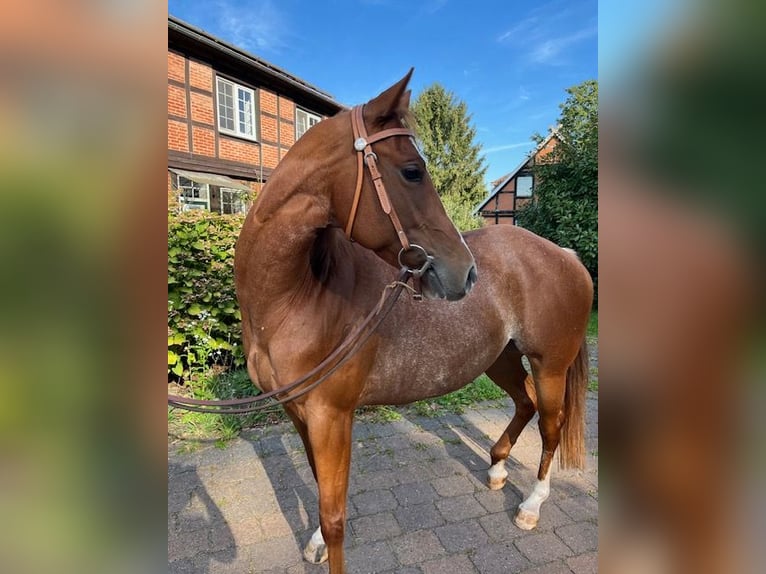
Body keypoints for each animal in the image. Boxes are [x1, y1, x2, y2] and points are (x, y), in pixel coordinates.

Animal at [234, 70, 592, 572]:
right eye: (412, 171)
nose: (465, 272)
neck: (297, 296)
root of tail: (565, 254)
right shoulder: (299, 412)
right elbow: (319, 487)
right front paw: (315, 543)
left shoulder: (332, 416)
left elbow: (334, 514)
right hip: (499, 358)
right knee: (525, 404)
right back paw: (498, 468)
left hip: (550, 365)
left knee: (550, 424)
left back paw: (531, 506)